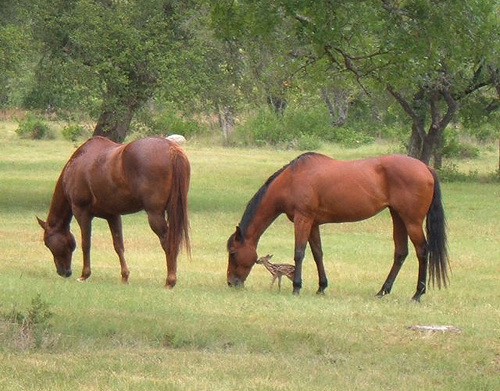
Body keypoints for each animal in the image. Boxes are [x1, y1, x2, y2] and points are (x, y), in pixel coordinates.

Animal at [37, 137, 189, 288]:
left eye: (47, 243)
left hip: (155, 214)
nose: (63, 272)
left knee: (167, 241)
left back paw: (170, 281)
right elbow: (118, 246)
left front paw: (84, 275)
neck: (77, 163)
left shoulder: (82, 213)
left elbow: (86, 244)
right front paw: (125, 276)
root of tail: (171, 149)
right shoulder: (113, 215)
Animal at [227, 152, 450, 302]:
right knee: (401, 252)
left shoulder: (302, 219)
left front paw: (296, 287)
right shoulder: (313, 223)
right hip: (398, 217)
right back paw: (382, 291)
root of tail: (425, 167)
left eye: (233, 253)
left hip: (412, 221)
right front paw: (321, 287)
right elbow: (317, 253)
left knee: (422, 251)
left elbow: (299, 253)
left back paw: (417, 293)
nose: (231, 283)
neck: (291, 180)